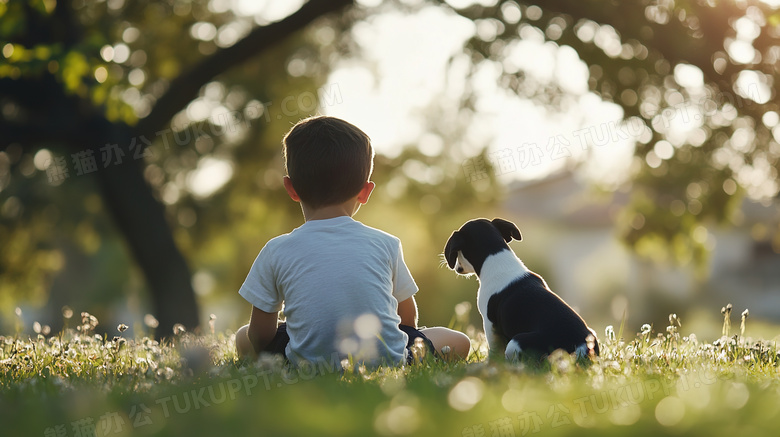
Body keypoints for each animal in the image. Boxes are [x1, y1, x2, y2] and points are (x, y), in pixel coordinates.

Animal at [444, 216, 596, 360]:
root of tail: (580, 346)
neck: (497, 258)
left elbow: (493, 349)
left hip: (516, 341)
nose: (457, 268)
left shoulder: (489, 323)